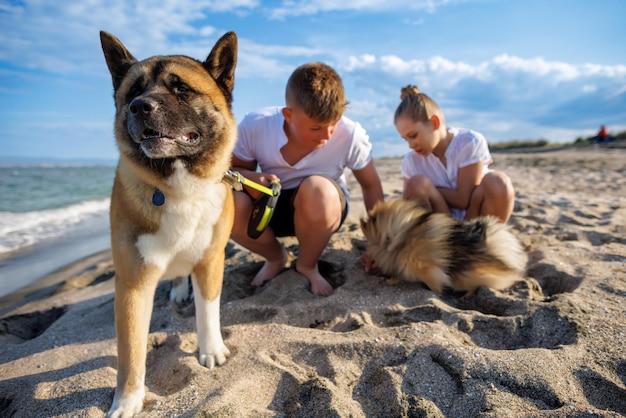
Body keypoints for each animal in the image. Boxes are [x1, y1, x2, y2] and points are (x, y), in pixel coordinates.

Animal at [98, 31, 238, 416]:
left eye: (182, 89)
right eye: (133, 92)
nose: (140, 107)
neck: (178, 186)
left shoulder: (211, 261)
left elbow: (208, 311)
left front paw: (211, 350)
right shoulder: (133, 285)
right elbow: (131, 351)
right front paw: (128, 399)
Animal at [358, 199, 524, 294]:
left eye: (371, 219)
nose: (363, 219)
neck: (400, 239)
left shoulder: (424, 267)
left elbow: (434, 283)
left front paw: (435, 292)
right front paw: (392, 281)